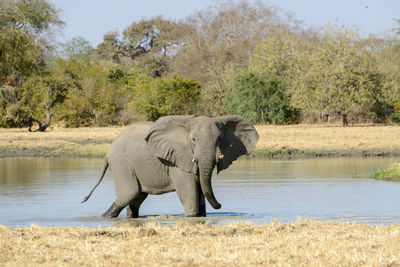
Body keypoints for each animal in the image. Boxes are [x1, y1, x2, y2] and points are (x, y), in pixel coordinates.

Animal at [81, 114, 260, 218]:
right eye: (193, 140)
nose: (220, 206)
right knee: (128, 194)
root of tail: (108, 151)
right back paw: (103, 217)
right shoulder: (177, 160)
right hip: (122, 163)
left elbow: (200, 192)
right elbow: (189, 194)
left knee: (136, 198)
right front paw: (192, 217)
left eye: (220, 139)